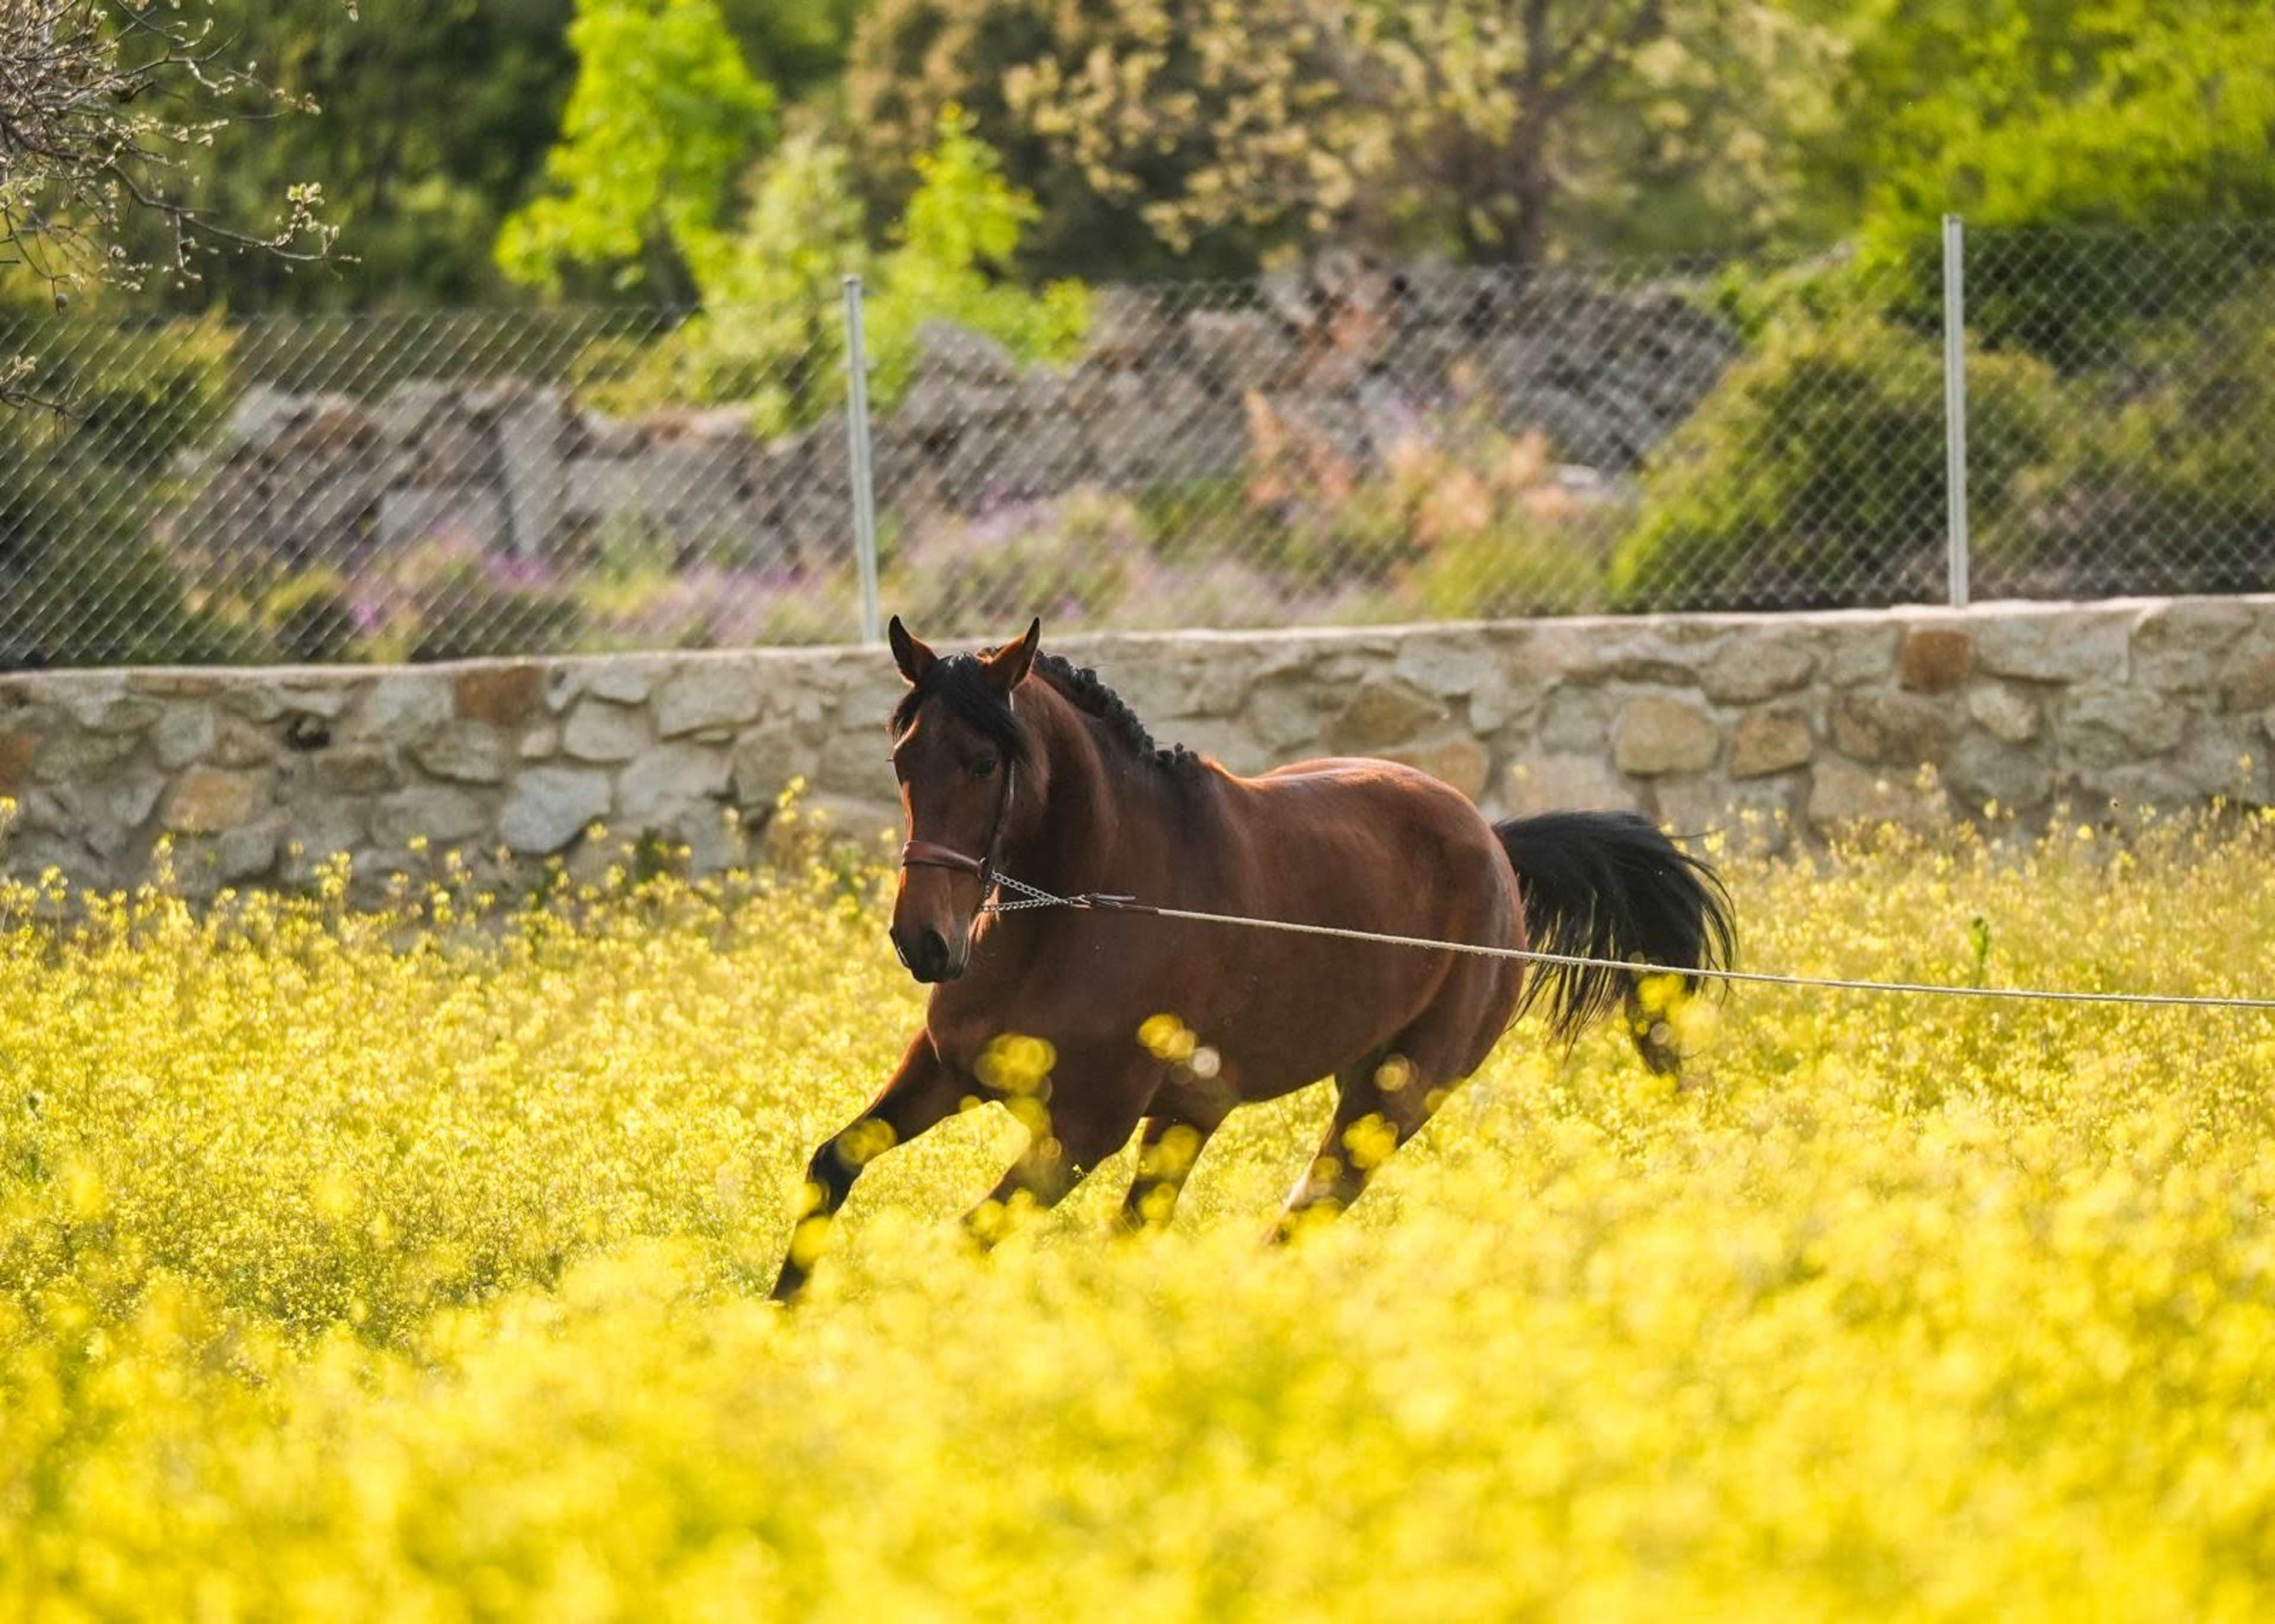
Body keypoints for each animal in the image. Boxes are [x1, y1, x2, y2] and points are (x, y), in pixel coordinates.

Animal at [769, 616, 1734, 1300]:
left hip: (1388, 1099)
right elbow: (833, 1163)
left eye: (980, 762)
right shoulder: (947, 1069)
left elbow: (967, 1236)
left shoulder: (1082, 1126)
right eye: (902, 757)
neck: (1081, 908)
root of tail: (1494, 843)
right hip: (1191, 1114)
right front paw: (783, 1318)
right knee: (1152, 1230)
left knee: (1300, 1218)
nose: (924, 942)